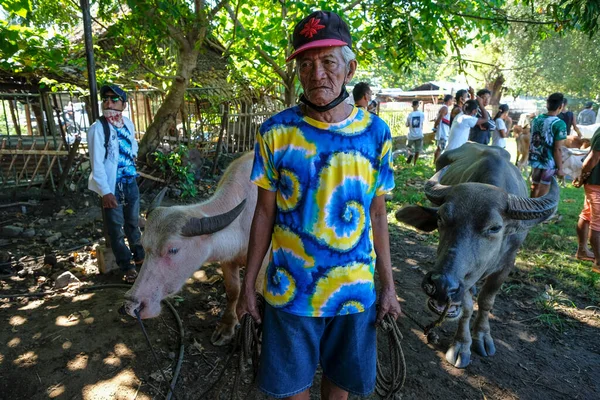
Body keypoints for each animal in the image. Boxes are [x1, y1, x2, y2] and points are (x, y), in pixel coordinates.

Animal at [122, 152, 264, 346]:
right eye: (144, 245)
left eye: (173, 249)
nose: (132, 305)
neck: (242, 224)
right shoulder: (227, 260)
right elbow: (233, 290)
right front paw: (226, 327)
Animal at [396, 144, 560, 368]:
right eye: (441, 217)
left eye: (495, 228)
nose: (441, 286)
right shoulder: (465, 278)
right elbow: (466, 308)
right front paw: (462, 344)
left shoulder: (506, 265)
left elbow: (487, 300)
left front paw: (482, 335)